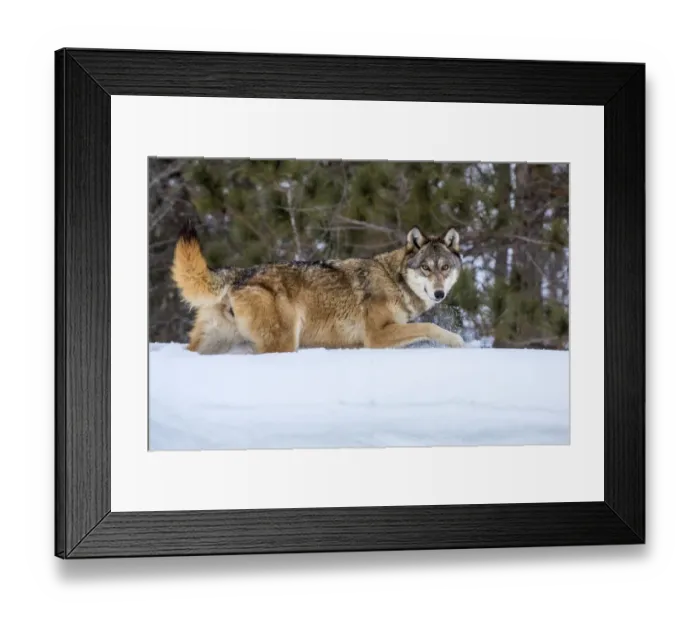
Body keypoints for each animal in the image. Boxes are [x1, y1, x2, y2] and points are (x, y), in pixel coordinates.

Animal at [171, 221, 466, 355]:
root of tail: (239, 273)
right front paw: (457, 341)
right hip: (285, 342)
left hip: (212, 342)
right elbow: (429, 326)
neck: (394, 279)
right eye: (426, 268)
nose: (439, 293)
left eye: (444, 268)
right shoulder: (376, 337)